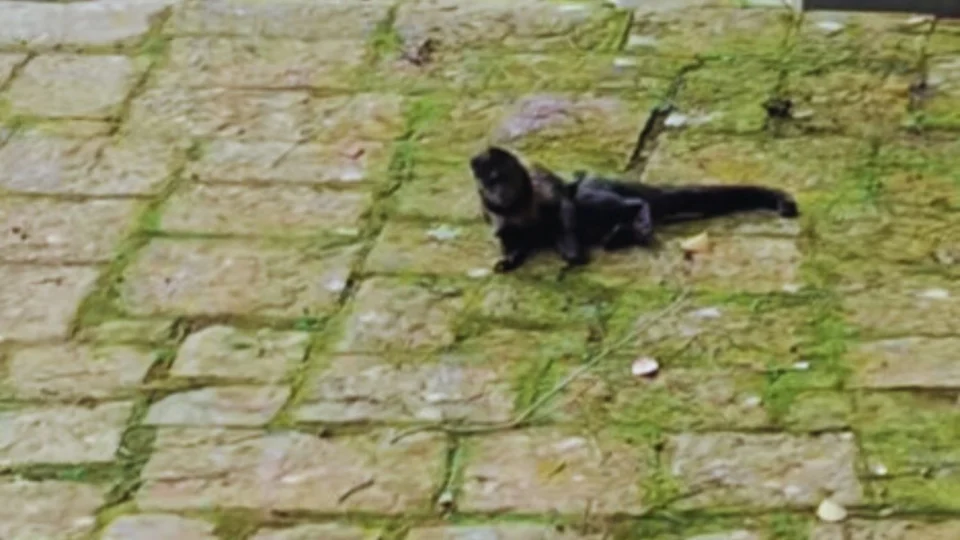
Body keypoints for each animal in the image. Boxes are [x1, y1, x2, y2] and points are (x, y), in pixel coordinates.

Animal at [469, 146, 799, 273]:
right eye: (488, 181)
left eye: (503, 177)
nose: (498, 191)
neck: (518, 204)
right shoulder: (492, 211)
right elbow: (510, 236)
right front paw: (508, 259)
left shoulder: (539, 183)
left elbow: (563, 204)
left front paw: (572, 254)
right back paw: (620, 233)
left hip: (596, 188)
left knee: (588, 199)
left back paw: (635, 215)